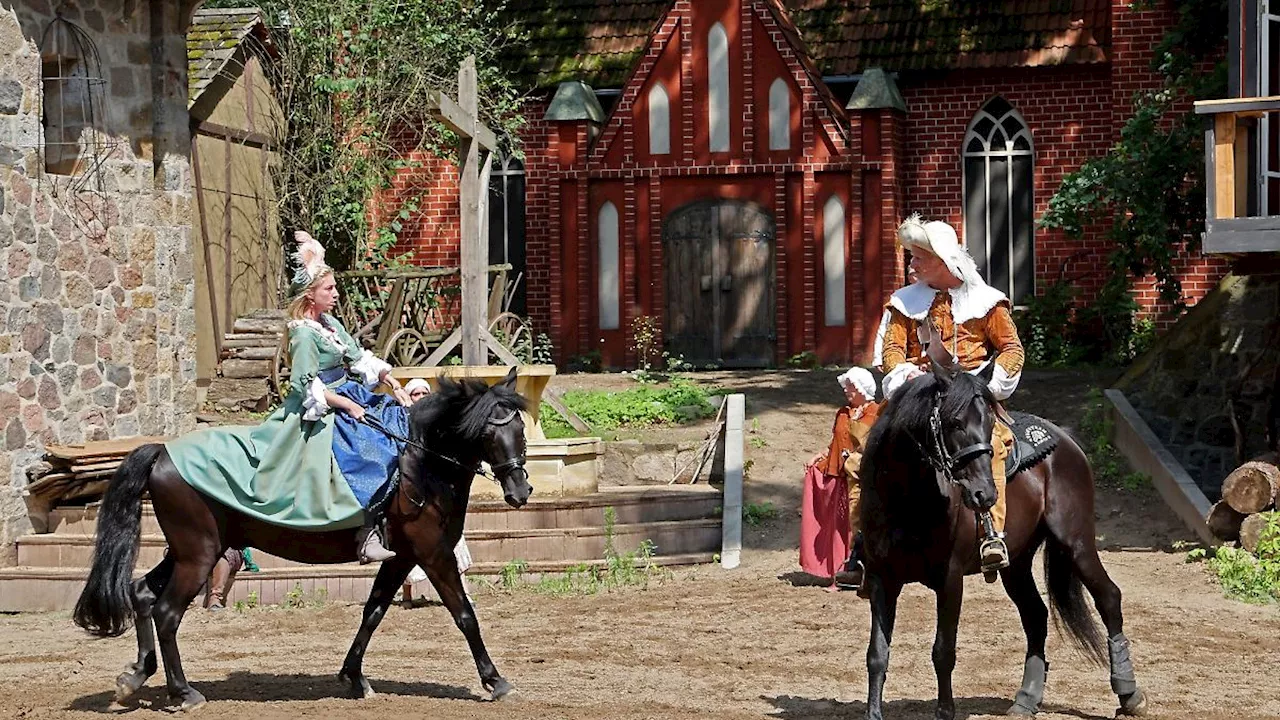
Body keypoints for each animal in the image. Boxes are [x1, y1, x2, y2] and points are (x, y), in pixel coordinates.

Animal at [72, 366, 532, 707]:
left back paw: (136, 676)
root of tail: (163, 452)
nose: (520, 491)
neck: (421, 459)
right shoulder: (433, 553)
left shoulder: (401, 556)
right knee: (166, 612)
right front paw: (495, 681)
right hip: (198, 556)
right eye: (489, 432)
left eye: (522, 430)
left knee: (141, 593)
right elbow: (465, 615)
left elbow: (373, 612)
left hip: (191, 551)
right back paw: (184, 693)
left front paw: (353, 678)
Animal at [860, 358, 1152, 717]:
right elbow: (877, 654)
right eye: (954, 422)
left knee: (1109, 597)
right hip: (1017, 564)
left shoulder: (950, 580)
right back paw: (1026, 698)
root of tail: (1067, 442)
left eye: (988, 423)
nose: (984, 494)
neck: (906, 500)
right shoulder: (881, 579)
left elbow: (943, 652)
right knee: (1036, 616)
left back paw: (1129, 693)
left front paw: (946, 711)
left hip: (1077, 543)